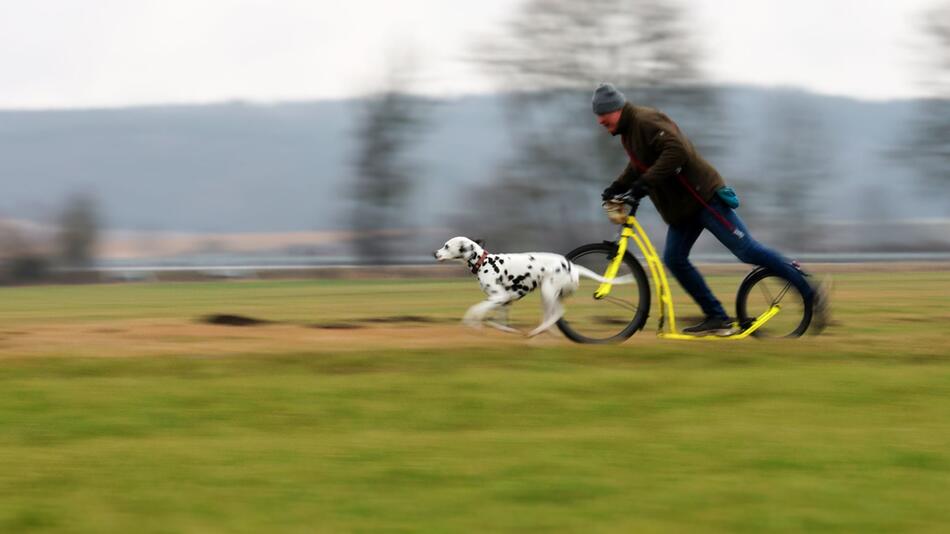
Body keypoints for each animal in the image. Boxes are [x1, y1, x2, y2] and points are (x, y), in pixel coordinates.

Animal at [436, 239, 636, 340]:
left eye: (446, 246)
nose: (435, 253)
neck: (484, 262)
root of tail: (573, 266)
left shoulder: (498, 297)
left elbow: (475, 310)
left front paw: (472, 323)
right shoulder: (503, 301)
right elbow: (498, 322)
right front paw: (504, 330)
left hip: (548, 292)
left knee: (557, 314)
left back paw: (538, 332)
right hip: (549, 296)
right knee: (551, 316)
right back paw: (546, 332)